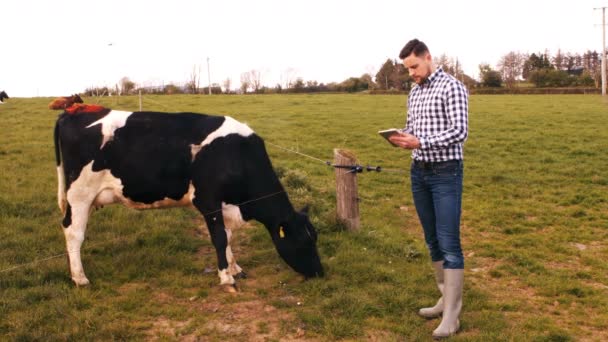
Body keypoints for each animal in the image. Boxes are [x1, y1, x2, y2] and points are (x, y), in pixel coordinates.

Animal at [54, 105, 326, 290]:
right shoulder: (208, 200)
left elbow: (228, 236)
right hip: (79, 194)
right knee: (74, 232)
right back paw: (80, 278)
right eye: (303, 241)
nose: (320, 273)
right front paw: (226, 277)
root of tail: (73, 111)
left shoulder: (225, 204)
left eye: (315, 238)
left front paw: (235, 268)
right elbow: (219, 238)